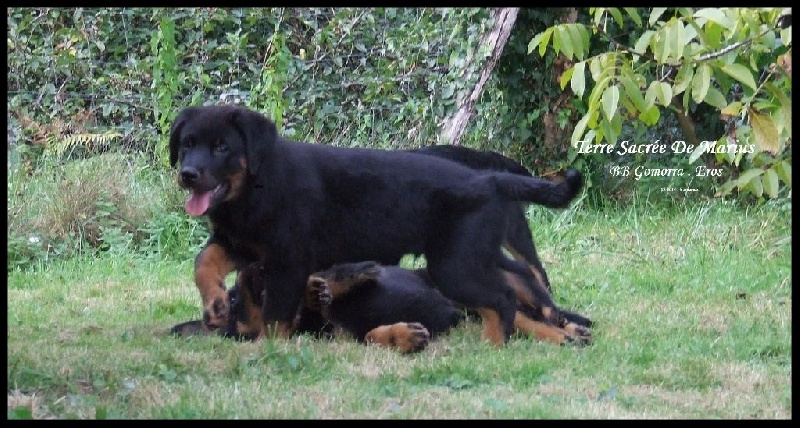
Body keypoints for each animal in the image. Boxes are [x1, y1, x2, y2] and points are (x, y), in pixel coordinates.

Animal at [170, 105, 580, 346]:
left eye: (222, 147)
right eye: (187, 143)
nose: (187, 174)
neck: (256, 186)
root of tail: (489, 179)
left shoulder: (287, 261)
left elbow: (274, 318)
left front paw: (269, 353)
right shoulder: (241, 243)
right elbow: (203, 261)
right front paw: (214, 303)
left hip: (455, 264)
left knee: (502, 299)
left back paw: (492, 346)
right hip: (475, 252)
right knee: (518, 277)